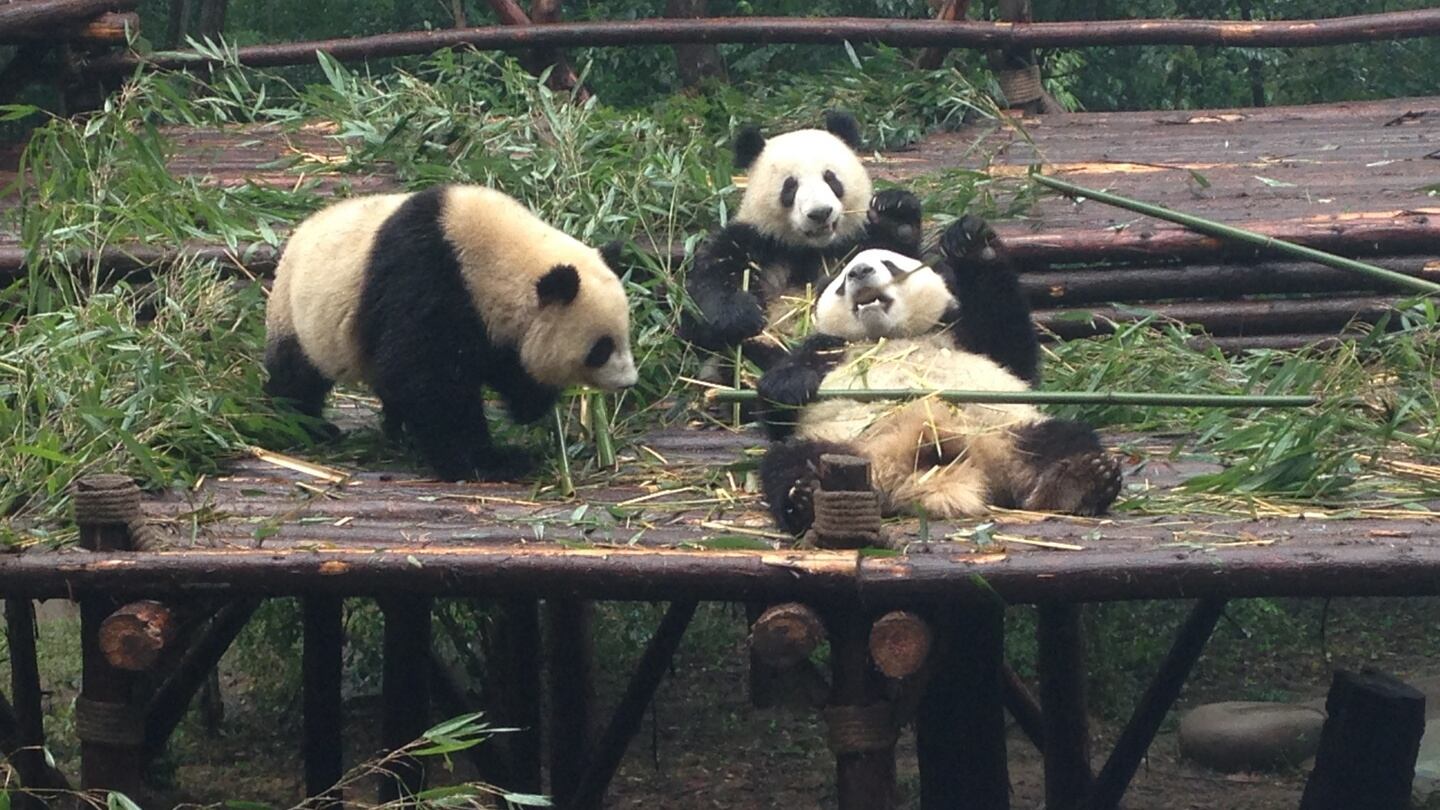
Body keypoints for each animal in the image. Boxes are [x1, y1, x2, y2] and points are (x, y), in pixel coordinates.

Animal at [264, 184, 637, 481]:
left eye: (625, 335)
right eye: (601, 348)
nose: (628, 382)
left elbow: (506, 364)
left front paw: (530, 407)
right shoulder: (427, 279)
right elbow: (428, 380)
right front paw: (486, 461)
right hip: (298, 314)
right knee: (297, 375)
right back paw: (304, 423)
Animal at [683, 111, 924, 373]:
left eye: (831, 178)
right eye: (790, 185)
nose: (820, 213)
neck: (809, 250)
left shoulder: (855, 240)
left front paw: (895, 212)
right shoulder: (756, 239)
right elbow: (710, 284)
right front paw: (742, 313)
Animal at [757, 215, 1122, 535]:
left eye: (890, 265)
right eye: (842, 279)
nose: (859, 271)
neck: (889, 335)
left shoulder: (963, 335)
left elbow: (1011, 349)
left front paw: (972, 244)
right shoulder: (829, 348)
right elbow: (778, 411)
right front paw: (791, 386)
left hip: (1006, 430)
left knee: (1063, 438)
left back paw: (1082, 481)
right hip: (845, 445)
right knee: (787, 462)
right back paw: (805, 498)